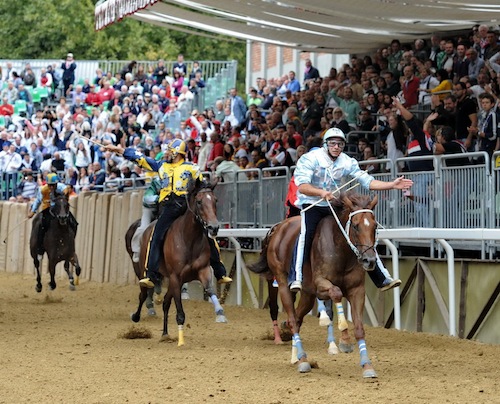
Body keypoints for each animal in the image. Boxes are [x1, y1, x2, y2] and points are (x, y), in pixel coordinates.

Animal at [139, 181, 229, 346]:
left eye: (215, 200)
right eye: (199, 202)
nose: (213, 227)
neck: (189, 239)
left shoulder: (203, 270)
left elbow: (210, 289)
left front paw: (220, 313)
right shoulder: (175, 277)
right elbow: (180, 312)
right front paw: (181, 341)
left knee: (165, 302)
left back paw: (165, 334)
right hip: (146, 272)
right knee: (143, 294)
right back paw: (136, 316)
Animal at [250, 194, 378, 378]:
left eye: (375, 226)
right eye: (355, 225)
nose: (370, 260)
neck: (341, 250)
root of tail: (277, 229)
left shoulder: (357, 290)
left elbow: (359, 327)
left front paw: (367, 366)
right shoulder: (321, 284)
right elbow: (336, 292)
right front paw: (345, 340)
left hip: (307, 294)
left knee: (296, 318)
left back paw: (295, 354)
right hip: (282, 282)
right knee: (293, 319)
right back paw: (303, 361)